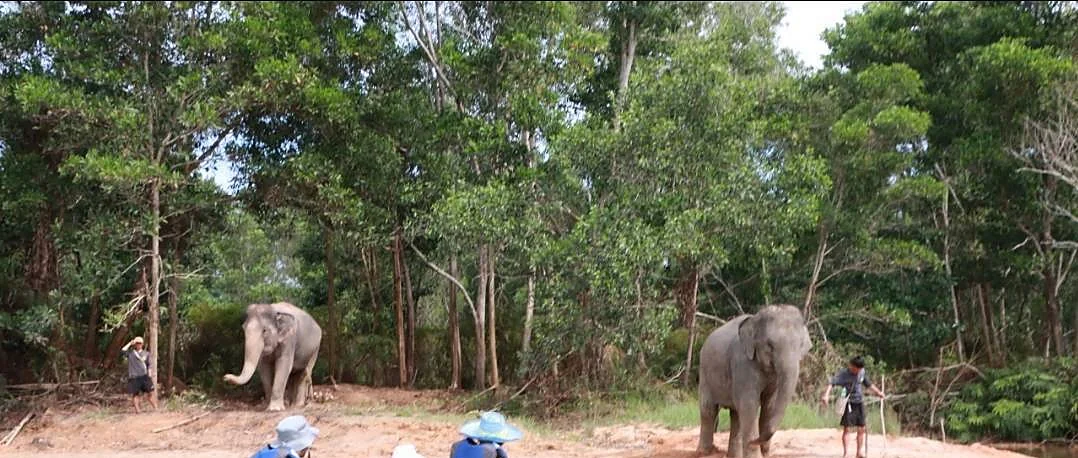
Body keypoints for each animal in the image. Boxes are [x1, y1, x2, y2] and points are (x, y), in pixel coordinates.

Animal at [697, 304, 812, 458]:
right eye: (769, 345)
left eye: (801, 345)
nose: (755, 441)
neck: (755, 319)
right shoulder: (743, 363)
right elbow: (750, 404)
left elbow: (769, 406)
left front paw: (764, 454)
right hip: (704, 373)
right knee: (709, 410)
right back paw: (704, 453)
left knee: (736, 415)